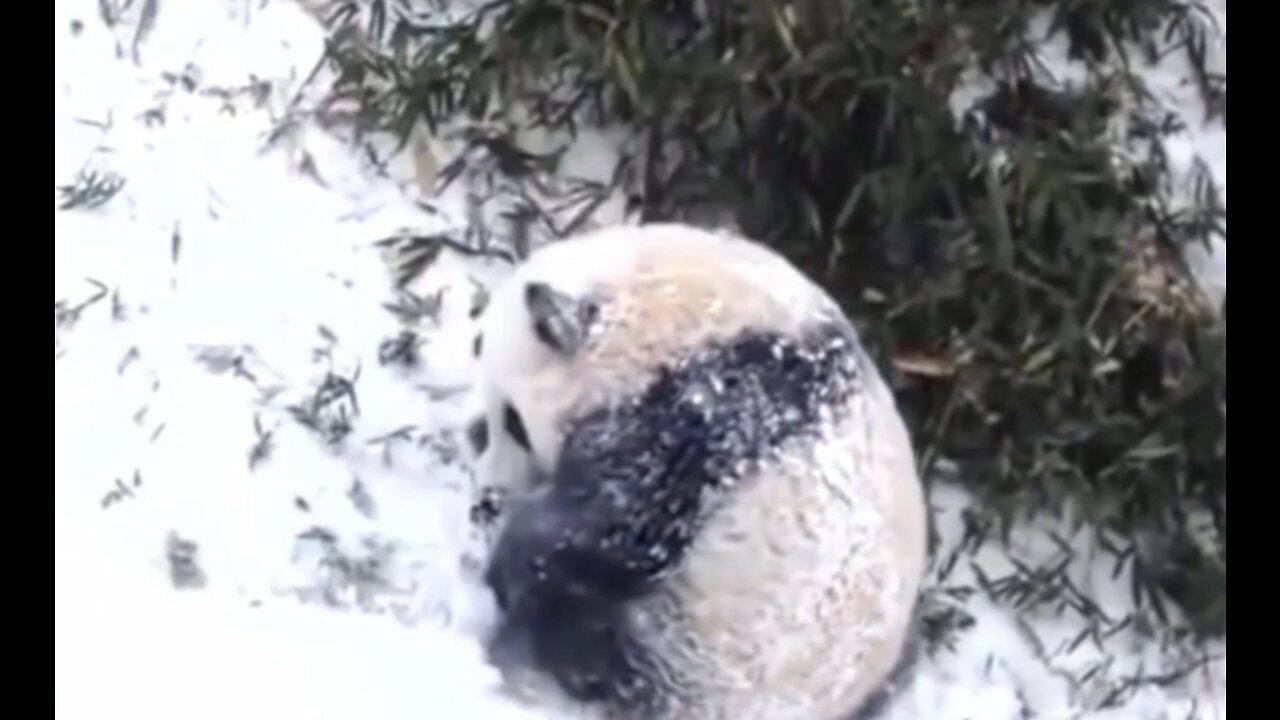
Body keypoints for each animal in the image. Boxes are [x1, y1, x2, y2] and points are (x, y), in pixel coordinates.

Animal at [465, 220, 926, 717]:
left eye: (516, 424)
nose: (487, 492)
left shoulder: (712, 409)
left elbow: (622, 524)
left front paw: (512, 553)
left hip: (697, 650)